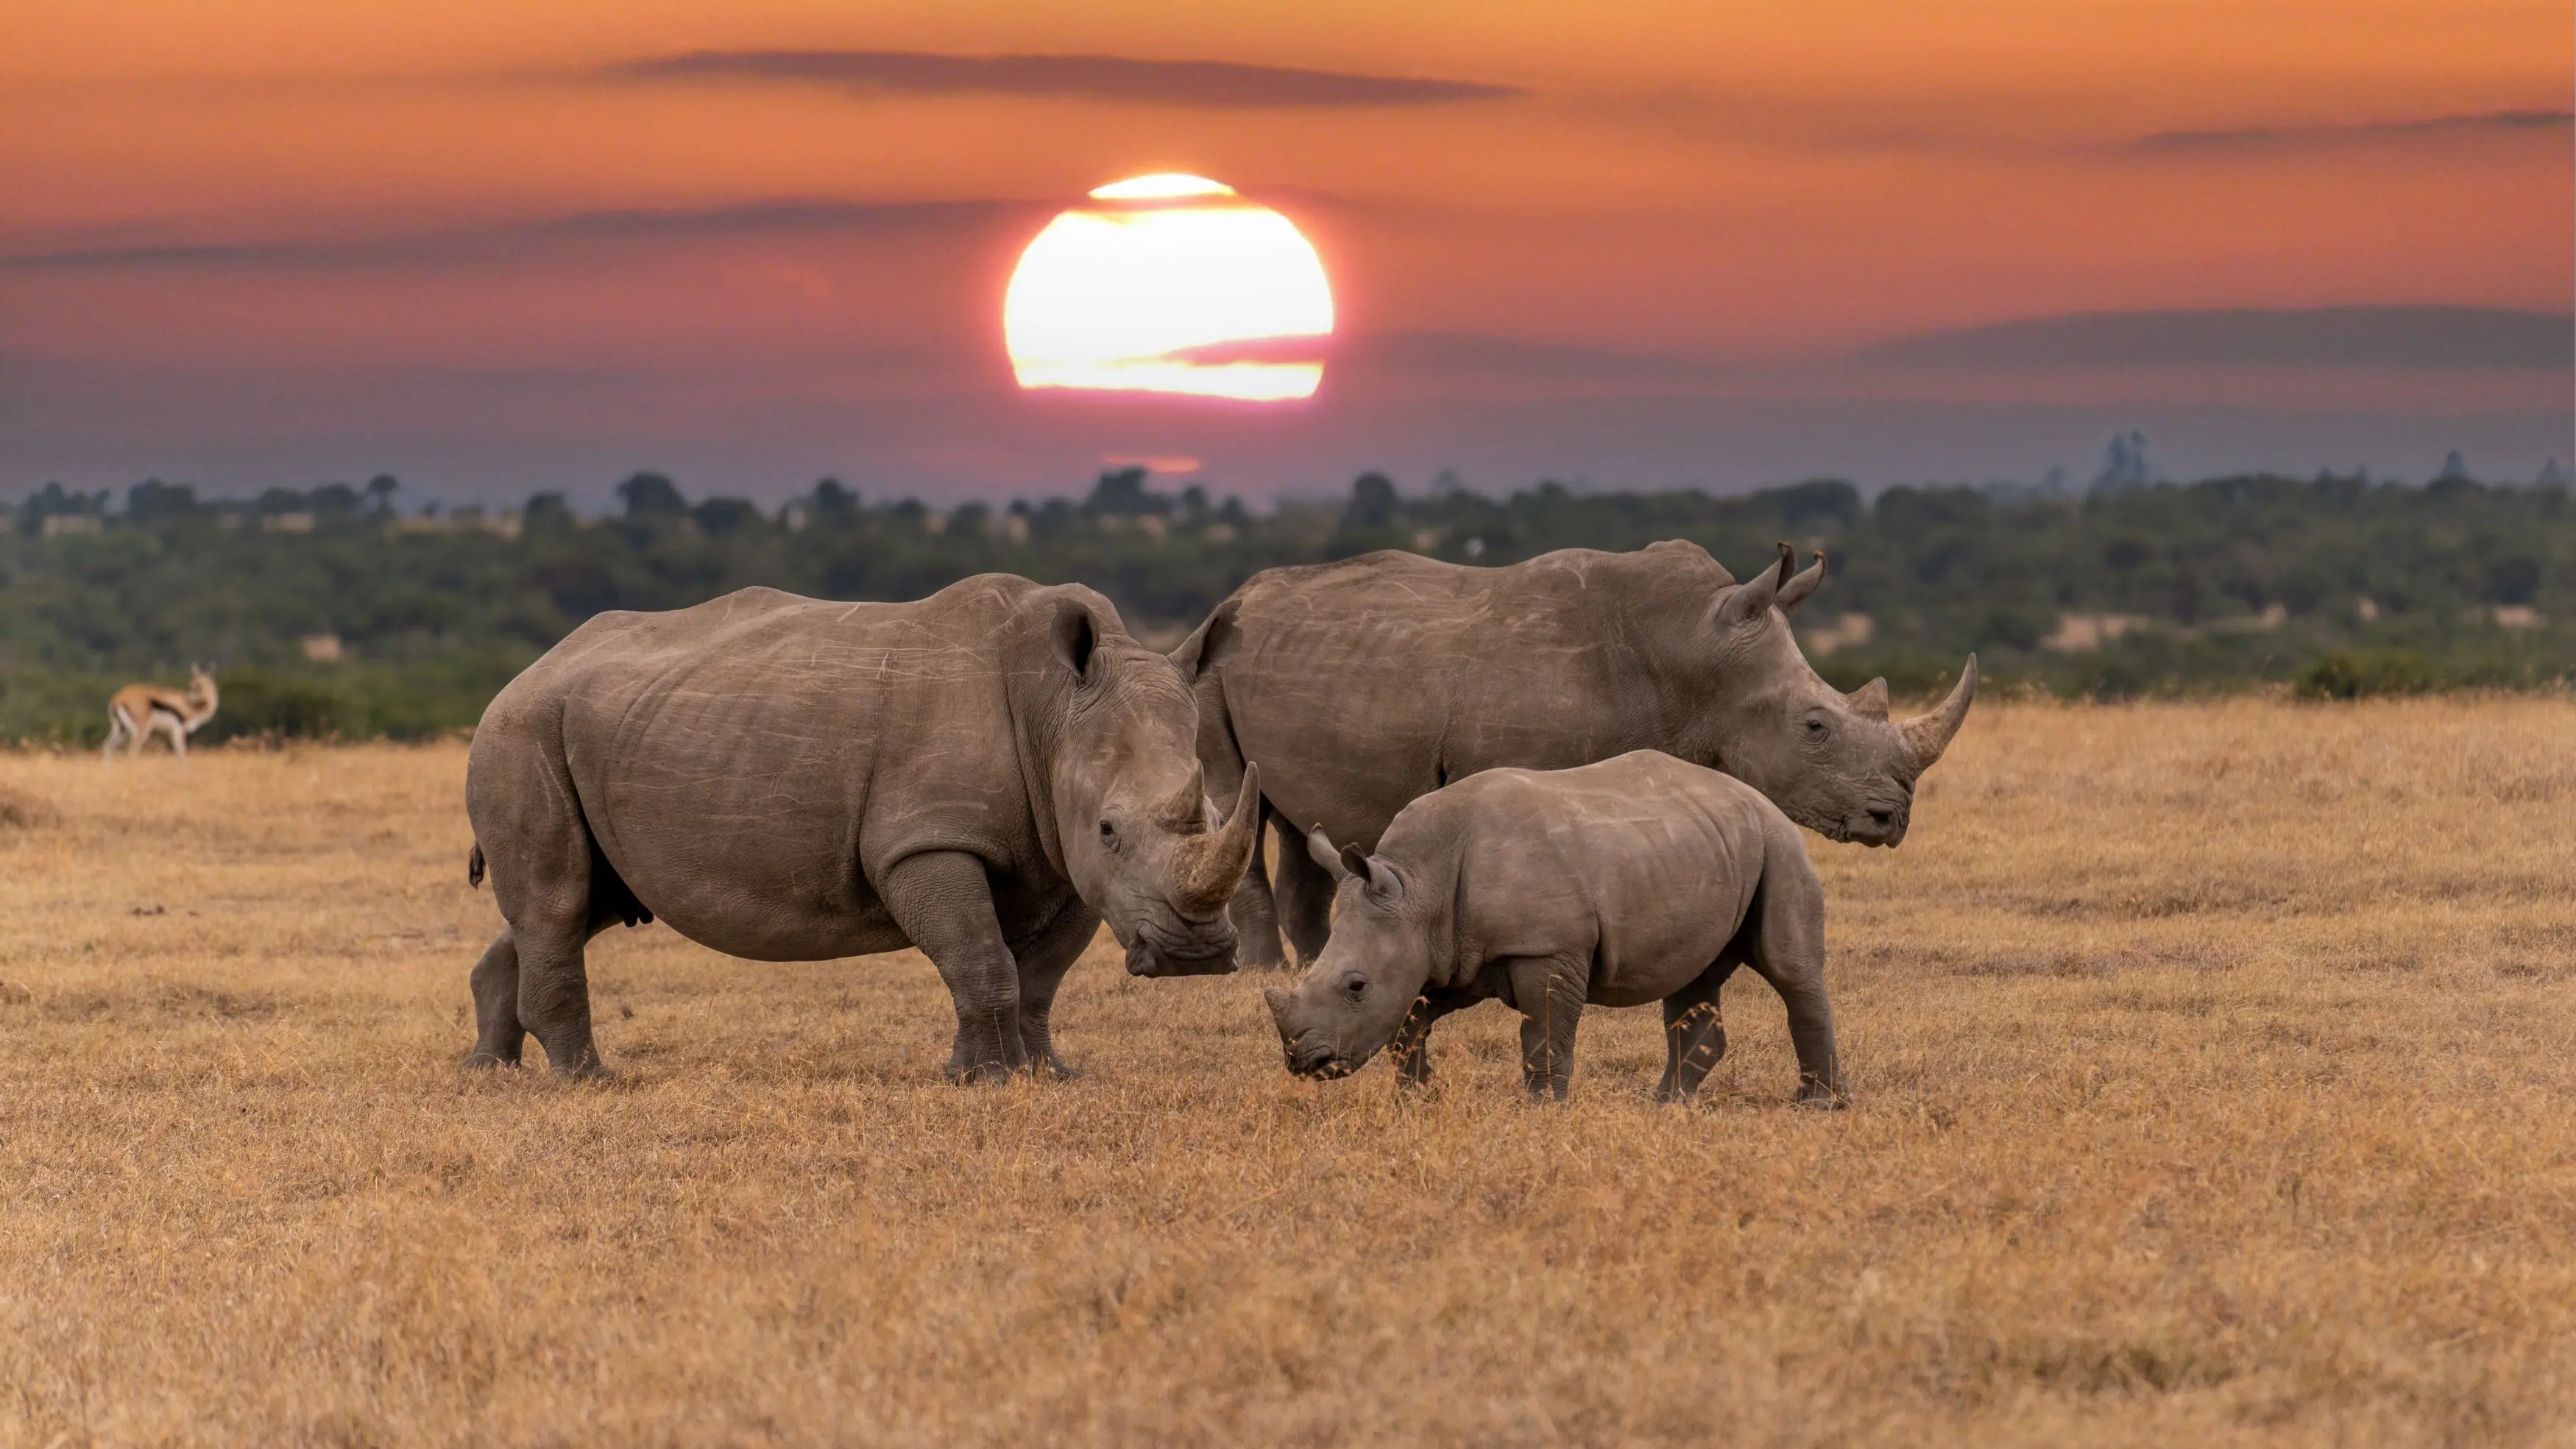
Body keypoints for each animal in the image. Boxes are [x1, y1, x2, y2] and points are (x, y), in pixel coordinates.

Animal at [461, 579, 1260, 1081]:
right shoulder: (926, 838)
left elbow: (1038, 977)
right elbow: (980, 957)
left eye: (1223, 816)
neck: (1054, 710)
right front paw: (988, 1080)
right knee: (560, 901)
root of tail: (532, 667)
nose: (1195, 955)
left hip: (599, 727)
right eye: (1109, 828)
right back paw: (588, 1079)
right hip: (520, 729)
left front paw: (1043, 1073)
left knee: (582, 902)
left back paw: (490, 1070)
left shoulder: (1063, 861)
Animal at [1173, 541, 1974, 968]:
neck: (1694, 654)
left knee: (1295, 819)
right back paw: (1258, 973)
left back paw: (1314, 962)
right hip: (1208, 665)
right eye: (1814, 727)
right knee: (1239, 802)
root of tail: (1231, 598)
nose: (1891, 819)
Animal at [1264, 750, 1839, 1104]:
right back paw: (1665, 1105)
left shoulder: (1545, 947)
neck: (1417, 884)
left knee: (1790, 970)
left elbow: (1544, 1034)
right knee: (1691, 978)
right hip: (1703, 844)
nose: (1303, 1061)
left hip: (1778, 843)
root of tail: (1759, 795)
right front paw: (1419, 1097)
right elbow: (1410, 1022)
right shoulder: (1450, 952)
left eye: (1356, 987)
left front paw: (1543, 1110)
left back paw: (1820, 1106)